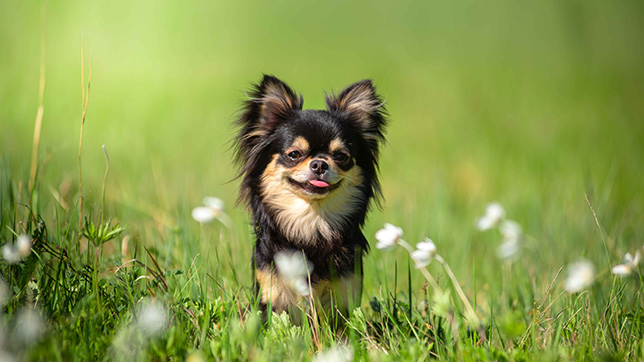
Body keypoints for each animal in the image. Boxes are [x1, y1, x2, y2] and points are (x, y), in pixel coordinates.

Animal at [235, 75, 388, 324]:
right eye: (294, 154)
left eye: (341, 156)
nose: (319, 164)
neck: (311, 222)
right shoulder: (270, 291)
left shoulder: (345, 295)